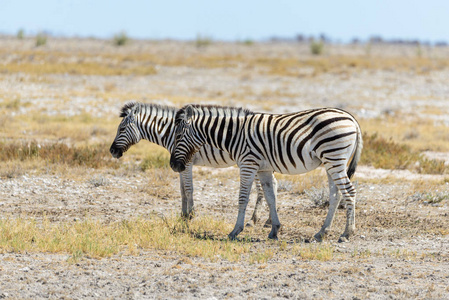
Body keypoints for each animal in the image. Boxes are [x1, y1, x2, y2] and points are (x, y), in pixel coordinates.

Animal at [110, 102, 274, 226]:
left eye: (122, 129)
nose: (112, 151)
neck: (171, 133)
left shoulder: (187, 162)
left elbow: (189, 189)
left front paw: (191, 215)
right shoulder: (180, 164)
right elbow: (182, 190)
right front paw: (183, 215)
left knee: (262, 190)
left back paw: (254, 219)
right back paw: (268, 221)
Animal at [170, 104, 362, 243]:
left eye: (178, 136)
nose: (173, 165)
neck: (234, 135)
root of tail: (352, 118)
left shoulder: (247, 164)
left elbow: (243, 198)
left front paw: (235, 231)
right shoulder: (264, 169)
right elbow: (271, 197)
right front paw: (274, 230)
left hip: (334, 157)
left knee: (350, 192)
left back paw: (346, 233)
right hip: (332, 162)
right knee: (336, 195)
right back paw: (322, 232)